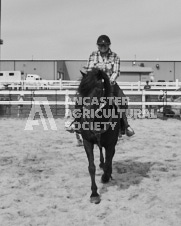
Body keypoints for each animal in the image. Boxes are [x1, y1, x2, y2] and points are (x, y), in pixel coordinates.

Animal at [76, 68, 120, 204]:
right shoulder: (87, 142)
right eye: (81, 90)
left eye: (98, 90)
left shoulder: (111, 144)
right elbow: (91, 167)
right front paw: (94, 194)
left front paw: (106, 177)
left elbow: (109, 161)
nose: (86, 114)